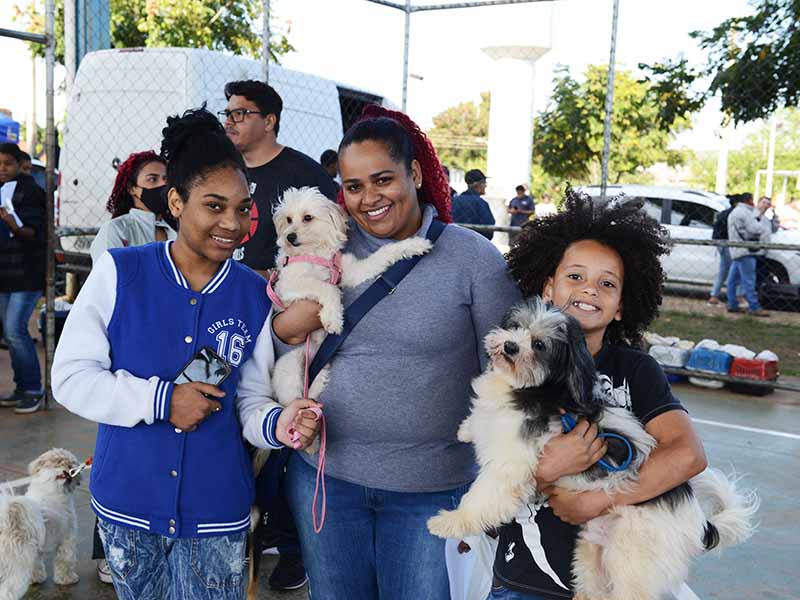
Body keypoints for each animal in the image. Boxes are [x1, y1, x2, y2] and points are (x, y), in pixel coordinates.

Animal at [0, 448, 82, 596]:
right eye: (60, 461)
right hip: (17, 566)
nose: (70, 467)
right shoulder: (67, 540)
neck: (50, 487)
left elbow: (36, 565)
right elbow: (65, 561)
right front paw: (67, 579)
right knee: (8, 591)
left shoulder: (35, 551)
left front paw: (36, 578)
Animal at [428, 298, 760, 600]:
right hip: (592, 554)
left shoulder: (510, 465)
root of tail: (699, 522)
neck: (534, 388)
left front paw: (449, 522)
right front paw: (466, 429)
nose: (510, 346)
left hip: (632, 563)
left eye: (539, 345)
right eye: (516, 325)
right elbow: (478, 423)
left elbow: (480, 499)